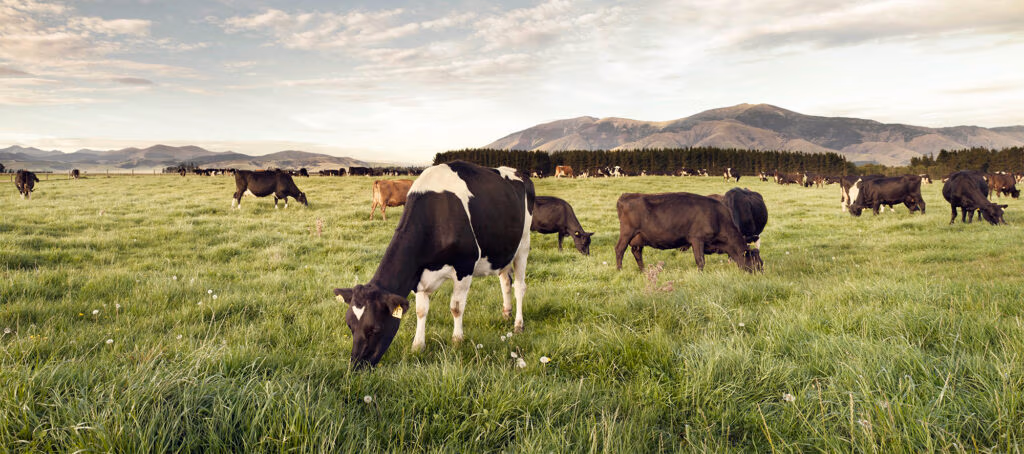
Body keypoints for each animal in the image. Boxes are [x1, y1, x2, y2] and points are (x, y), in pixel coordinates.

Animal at [331, 161, 534, 369]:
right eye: (350, 325)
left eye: (375, 329)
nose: (356, 366)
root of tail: (518, 172)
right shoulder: (419, 274)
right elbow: (421, 311)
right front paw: (417, 346)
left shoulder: (465, 266)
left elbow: (456, 307)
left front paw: (457, 341)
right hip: (503, 251)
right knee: (505, 282)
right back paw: (506, 313)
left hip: (523, 244)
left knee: (519, 286)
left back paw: (518, 324)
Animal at [614, 192, 762, 273]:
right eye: (756, 264)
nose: (761, 274)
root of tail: (626, 196)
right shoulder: (697, 239)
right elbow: (700, 260)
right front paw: (700, 275)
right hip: (627, 232)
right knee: (619, 249)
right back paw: (620, 270)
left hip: (639, 238)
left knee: (637, 252)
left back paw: (643, 271)